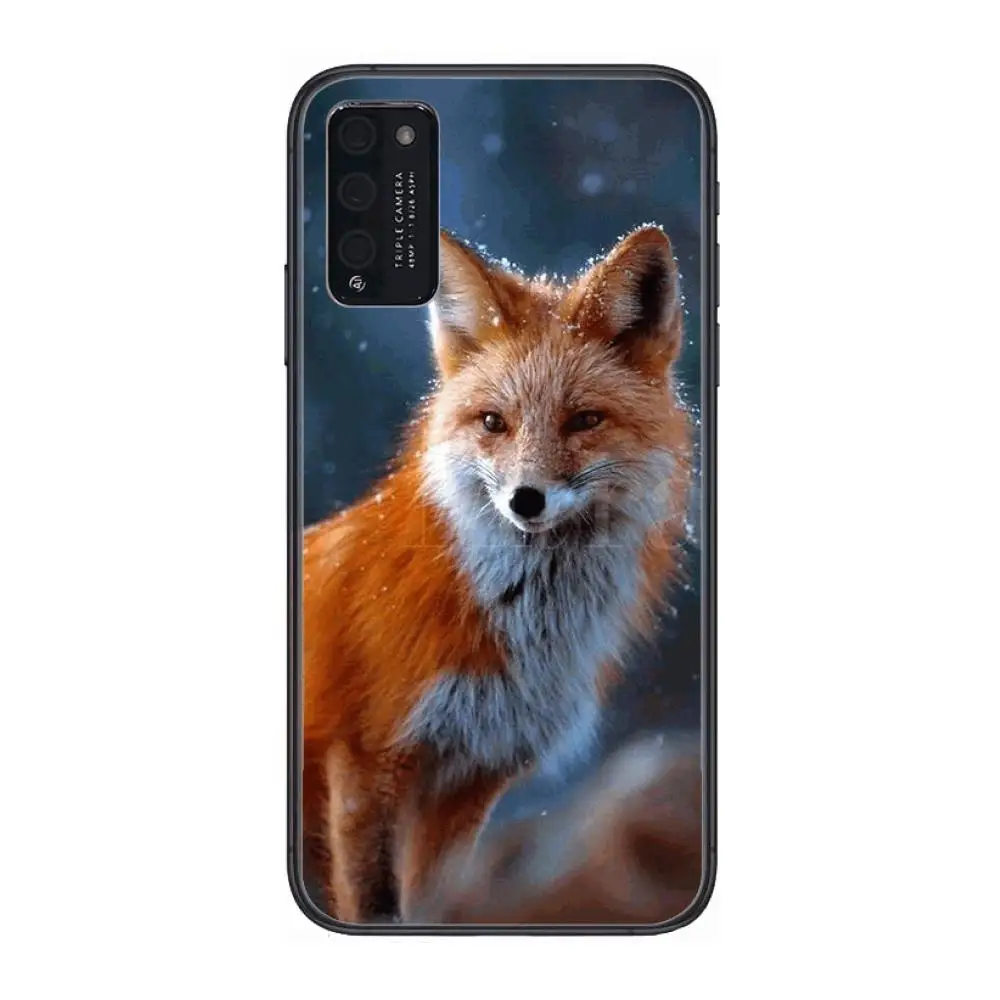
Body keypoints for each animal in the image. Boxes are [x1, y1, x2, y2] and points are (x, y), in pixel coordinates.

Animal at [302, 224, 692, 923]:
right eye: (493, 422)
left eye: (584, 420)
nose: (525, 500)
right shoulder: (367, 761)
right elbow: (377, 907)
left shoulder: (473, 778)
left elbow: (436, 906)